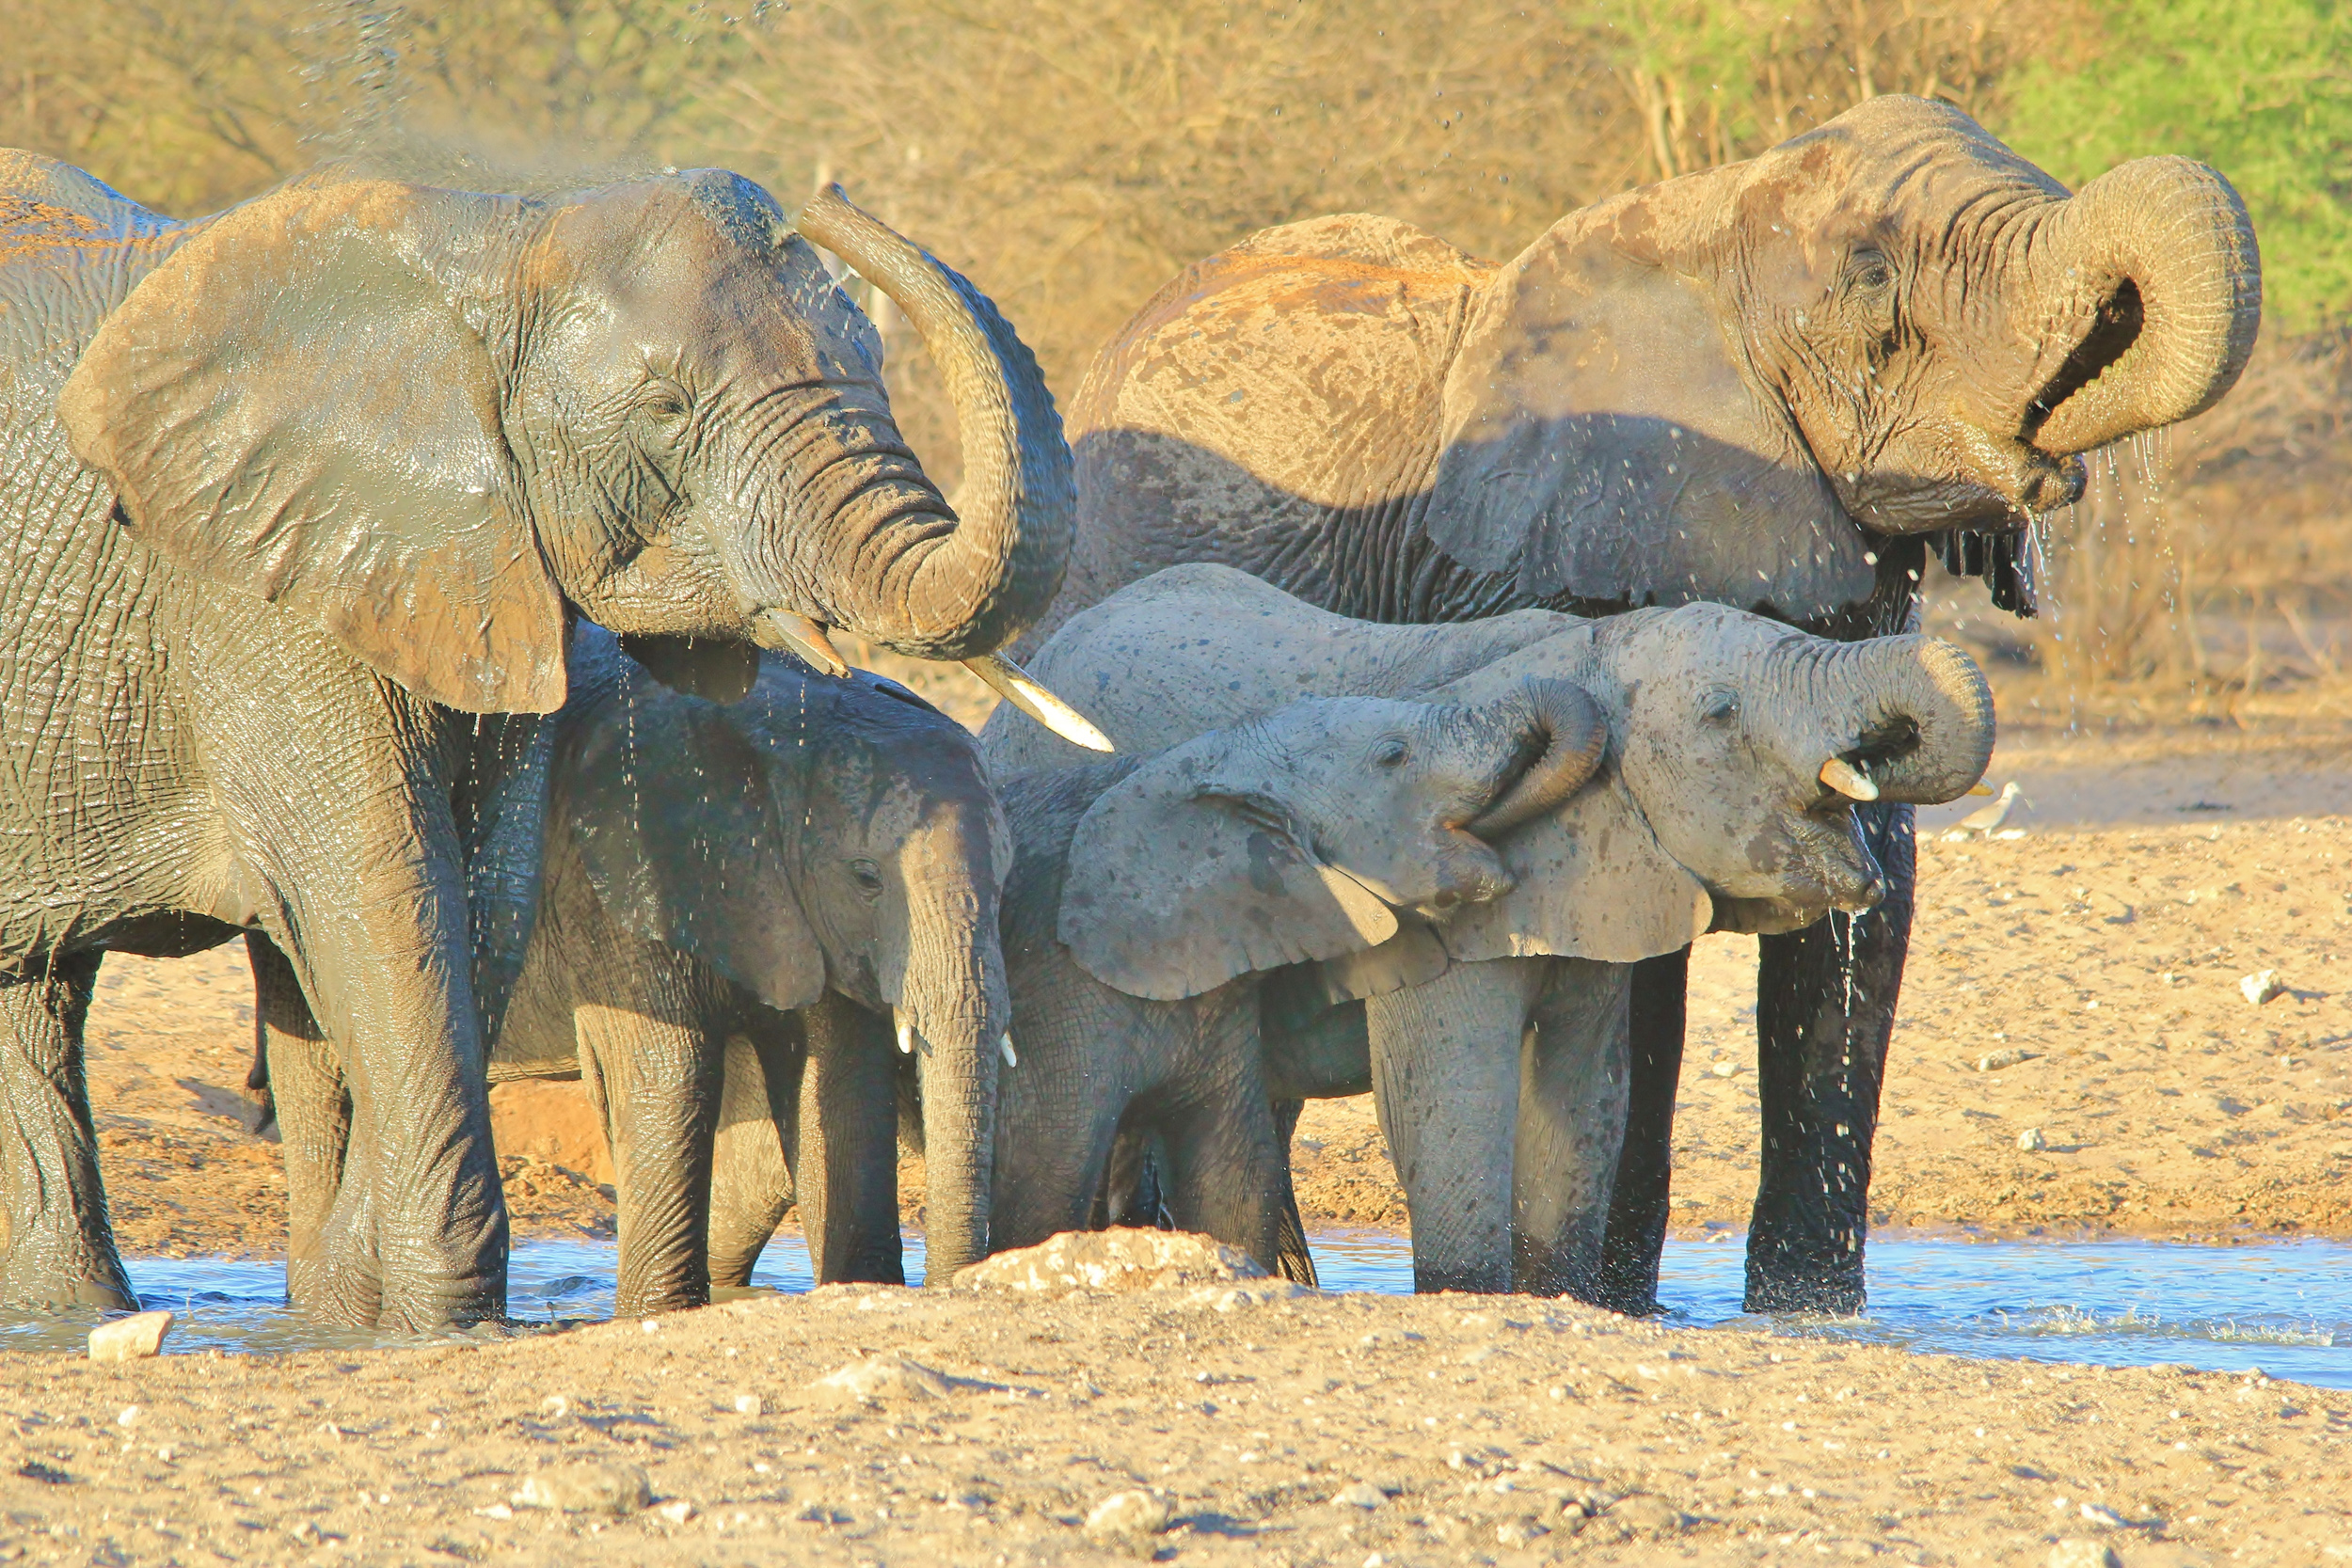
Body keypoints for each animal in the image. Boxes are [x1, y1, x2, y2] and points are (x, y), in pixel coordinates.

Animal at [260, 629, 1011, 1316]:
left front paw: (859, 1286)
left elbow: (843, 1078)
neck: (802, 717)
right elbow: (670, 1066)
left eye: (1006, 879)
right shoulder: (622, 874)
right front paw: (660, 1312)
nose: (956, 1284)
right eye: (865, 878)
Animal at [1030, 95, 2258, 1316]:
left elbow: (1873, 897)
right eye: (1869, 273)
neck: (1704, 222)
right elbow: (1644, 943)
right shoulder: (1560, 557)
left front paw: (1807, 1314)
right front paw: (1619, 1299)